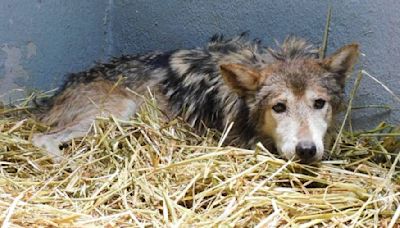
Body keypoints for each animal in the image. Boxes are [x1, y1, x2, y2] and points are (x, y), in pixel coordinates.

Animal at [32, 33, 360, 164]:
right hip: (119, 109)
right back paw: (69, 164)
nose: (307, 150)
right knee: (42, 139)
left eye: (319, 104)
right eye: (279, 107)